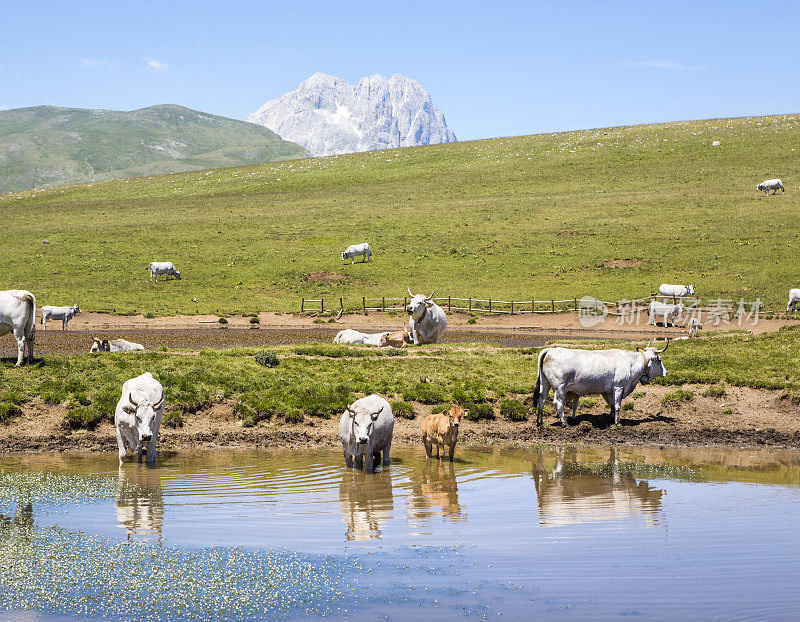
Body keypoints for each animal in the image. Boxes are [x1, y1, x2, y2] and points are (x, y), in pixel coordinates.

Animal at [536, 342, 672, 428]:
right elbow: (617, 405)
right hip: (560, 387)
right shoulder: (619, 386)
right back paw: (564, 423)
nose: (666, 372)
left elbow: (612, 405)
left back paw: (539, 421)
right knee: (558, 403)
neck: (630, 363)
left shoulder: (607, 391)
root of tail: (550, 350)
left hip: (545, 384)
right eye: (659, 360)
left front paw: (611, 419)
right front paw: (618, 423)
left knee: (541, 400)